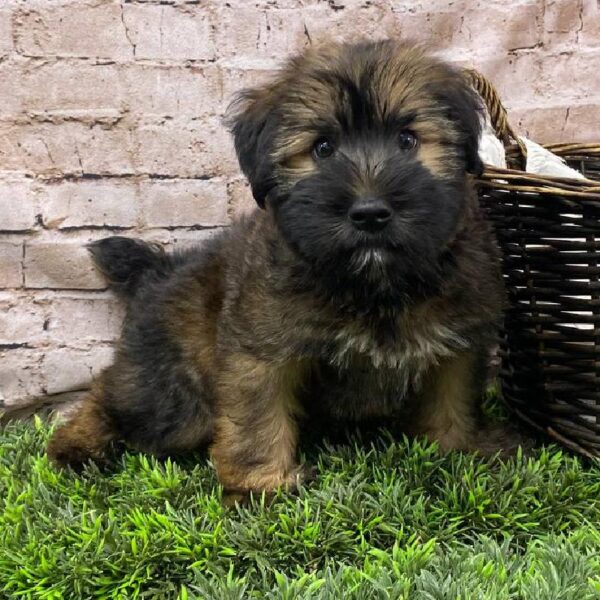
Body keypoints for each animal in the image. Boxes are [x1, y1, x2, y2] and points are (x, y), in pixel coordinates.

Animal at [49, 41, 510, 492]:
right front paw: (260, 485)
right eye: (322, 148)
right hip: (175, 400)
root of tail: (160, 270)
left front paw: (457, 450)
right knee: (111, 395)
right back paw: (75, 447)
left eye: (408, 140)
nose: (369, 213)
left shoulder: (459, 343)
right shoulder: (261, 348)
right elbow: (256, 418)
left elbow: (452, 400)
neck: (374, 286)